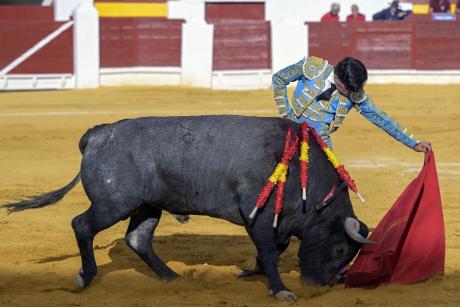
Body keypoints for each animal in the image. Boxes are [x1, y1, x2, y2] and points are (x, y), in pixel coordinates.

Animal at [2, 115, 370, 300]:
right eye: (340, 249)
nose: (317, 288)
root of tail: (98, 135)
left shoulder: (276, 221)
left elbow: (274, 249)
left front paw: (251, 270)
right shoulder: (258, 215)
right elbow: (268, 250)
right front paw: (280, 289)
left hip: (147, 206)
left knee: (138, 239)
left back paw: (170, 277)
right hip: (114, 203)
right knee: (82, 225)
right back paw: (85, 277)